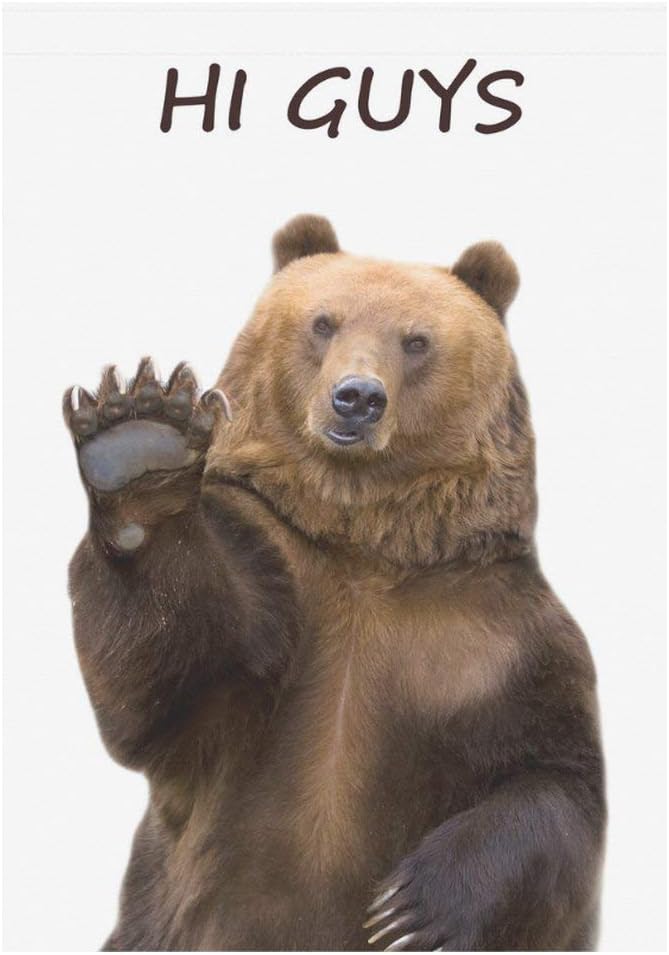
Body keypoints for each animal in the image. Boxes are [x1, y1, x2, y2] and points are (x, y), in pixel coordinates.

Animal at [63, 214, 606, 952]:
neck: (364, 541)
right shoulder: (269, 575)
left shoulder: (499, 637)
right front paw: (139, 442)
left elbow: (556, 779)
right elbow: (163, 685)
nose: (357, 398)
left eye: (416, 340)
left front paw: (409, 910)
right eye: (324, 322)